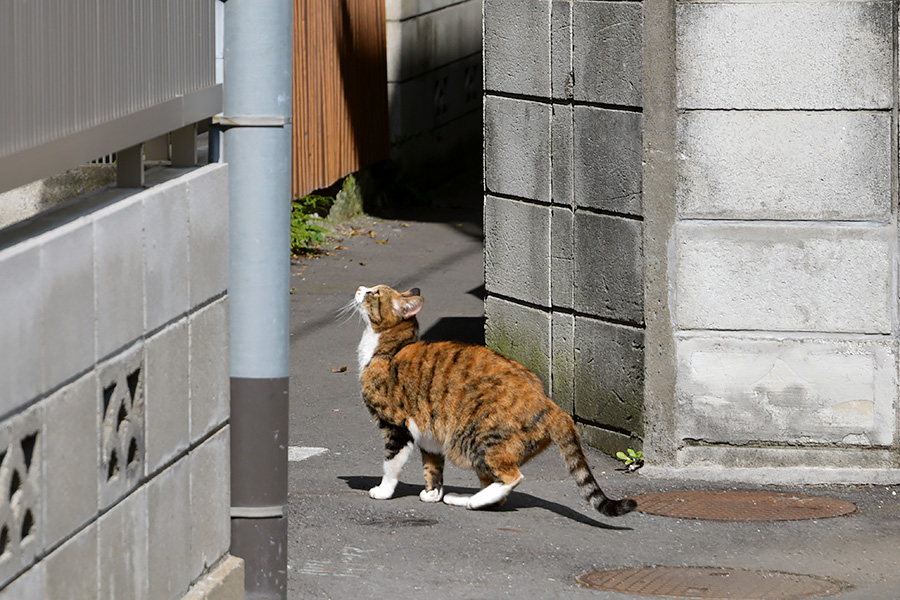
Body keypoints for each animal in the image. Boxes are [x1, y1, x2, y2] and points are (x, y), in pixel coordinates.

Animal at [348, 284, 636, 516]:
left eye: (375, 293)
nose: (360, 288)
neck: (386, 349)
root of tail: (552, 406)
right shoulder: (430, 434)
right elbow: (432, 467)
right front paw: (432, 493)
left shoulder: (395, 425)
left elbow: (391, 463)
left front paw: (383, 491)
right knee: (497, 490)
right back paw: (462, 498)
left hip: (473, 440)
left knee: (512, 477)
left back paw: (472, 501)